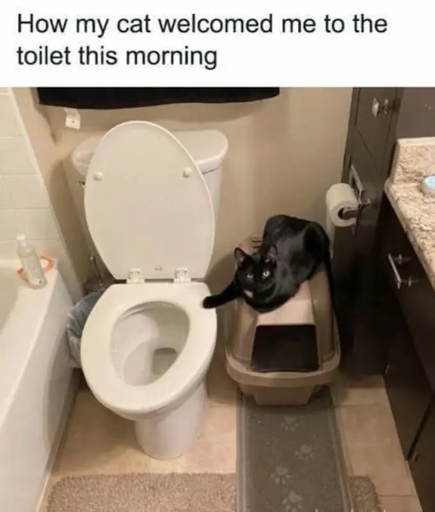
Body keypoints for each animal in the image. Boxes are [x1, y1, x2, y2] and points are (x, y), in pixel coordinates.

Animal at [202, 214, 333, 313]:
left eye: (266, 273)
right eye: (249, 275)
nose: (259, 283)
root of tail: (305, 220)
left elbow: (260, 305)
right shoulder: (237, 280)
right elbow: (226, 292)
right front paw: (209, 301)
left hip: (317, 237)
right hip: (271, 219)